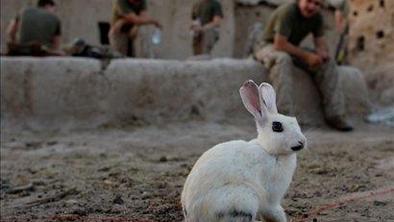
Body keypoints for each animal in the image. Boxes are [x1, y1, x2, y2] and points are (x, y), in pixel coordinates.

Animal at [180, 80, 306, 222]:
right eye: (277, 126)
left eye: (294, 120)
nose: (302, 142)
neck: (269, 151)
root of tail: (192, 215)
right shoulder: (271, 199)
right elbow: (274, 213)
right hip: (243, 201)